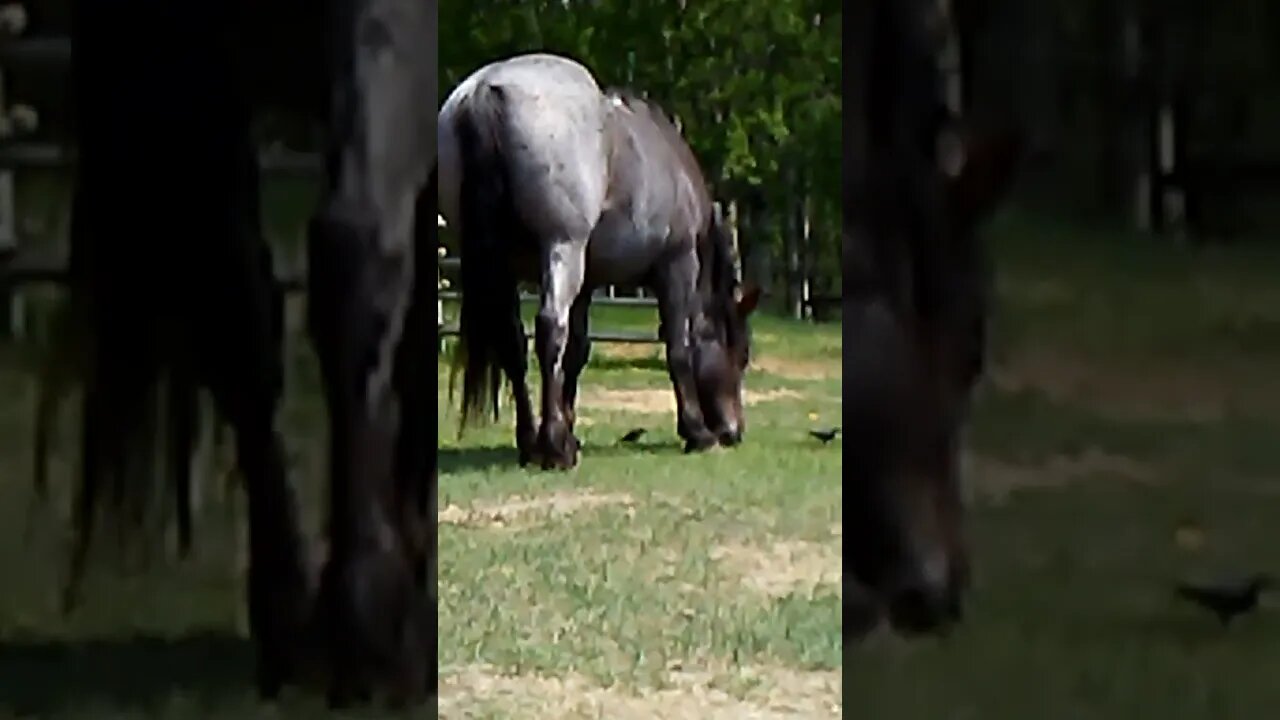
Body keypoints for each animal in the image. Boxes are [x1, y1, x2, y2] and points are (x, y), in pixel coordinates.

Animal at [440, 53, 757, 468]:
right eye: (741, 355)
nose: (734, 432)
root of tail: (487, 90)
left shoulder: (589, 282)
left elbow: (577, 351)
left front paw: (569, 428)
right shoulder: (677, 266)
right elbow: (679, 347)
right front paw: (696, 432)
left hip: (506, 267)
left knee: (513, 342)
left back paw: (531, 442)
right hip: (563, 248)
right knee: (548, 330)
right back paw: (553, 449)